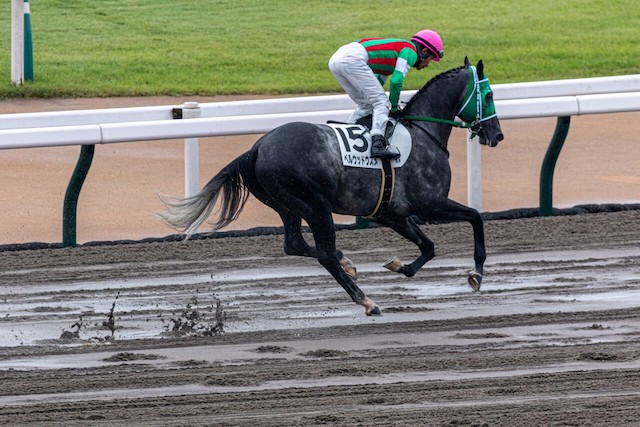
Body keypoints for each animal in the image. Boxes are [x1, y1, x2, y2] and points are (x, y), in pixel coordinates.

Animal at [159, 57, 504, 318]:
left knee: (296, 245)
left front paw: (399, 266)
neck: (423, 132)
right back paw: (366, 300)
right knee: (323, 253)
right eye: (488, 96)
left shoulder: (393, 213)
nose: (497, 135)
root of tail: (255, 149)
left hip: (288, 206)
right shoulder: (429, 204)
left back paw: (348, 263)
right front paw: (476, 274)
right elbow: (475, 217)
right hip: (316, 206)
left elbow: (428, 247)